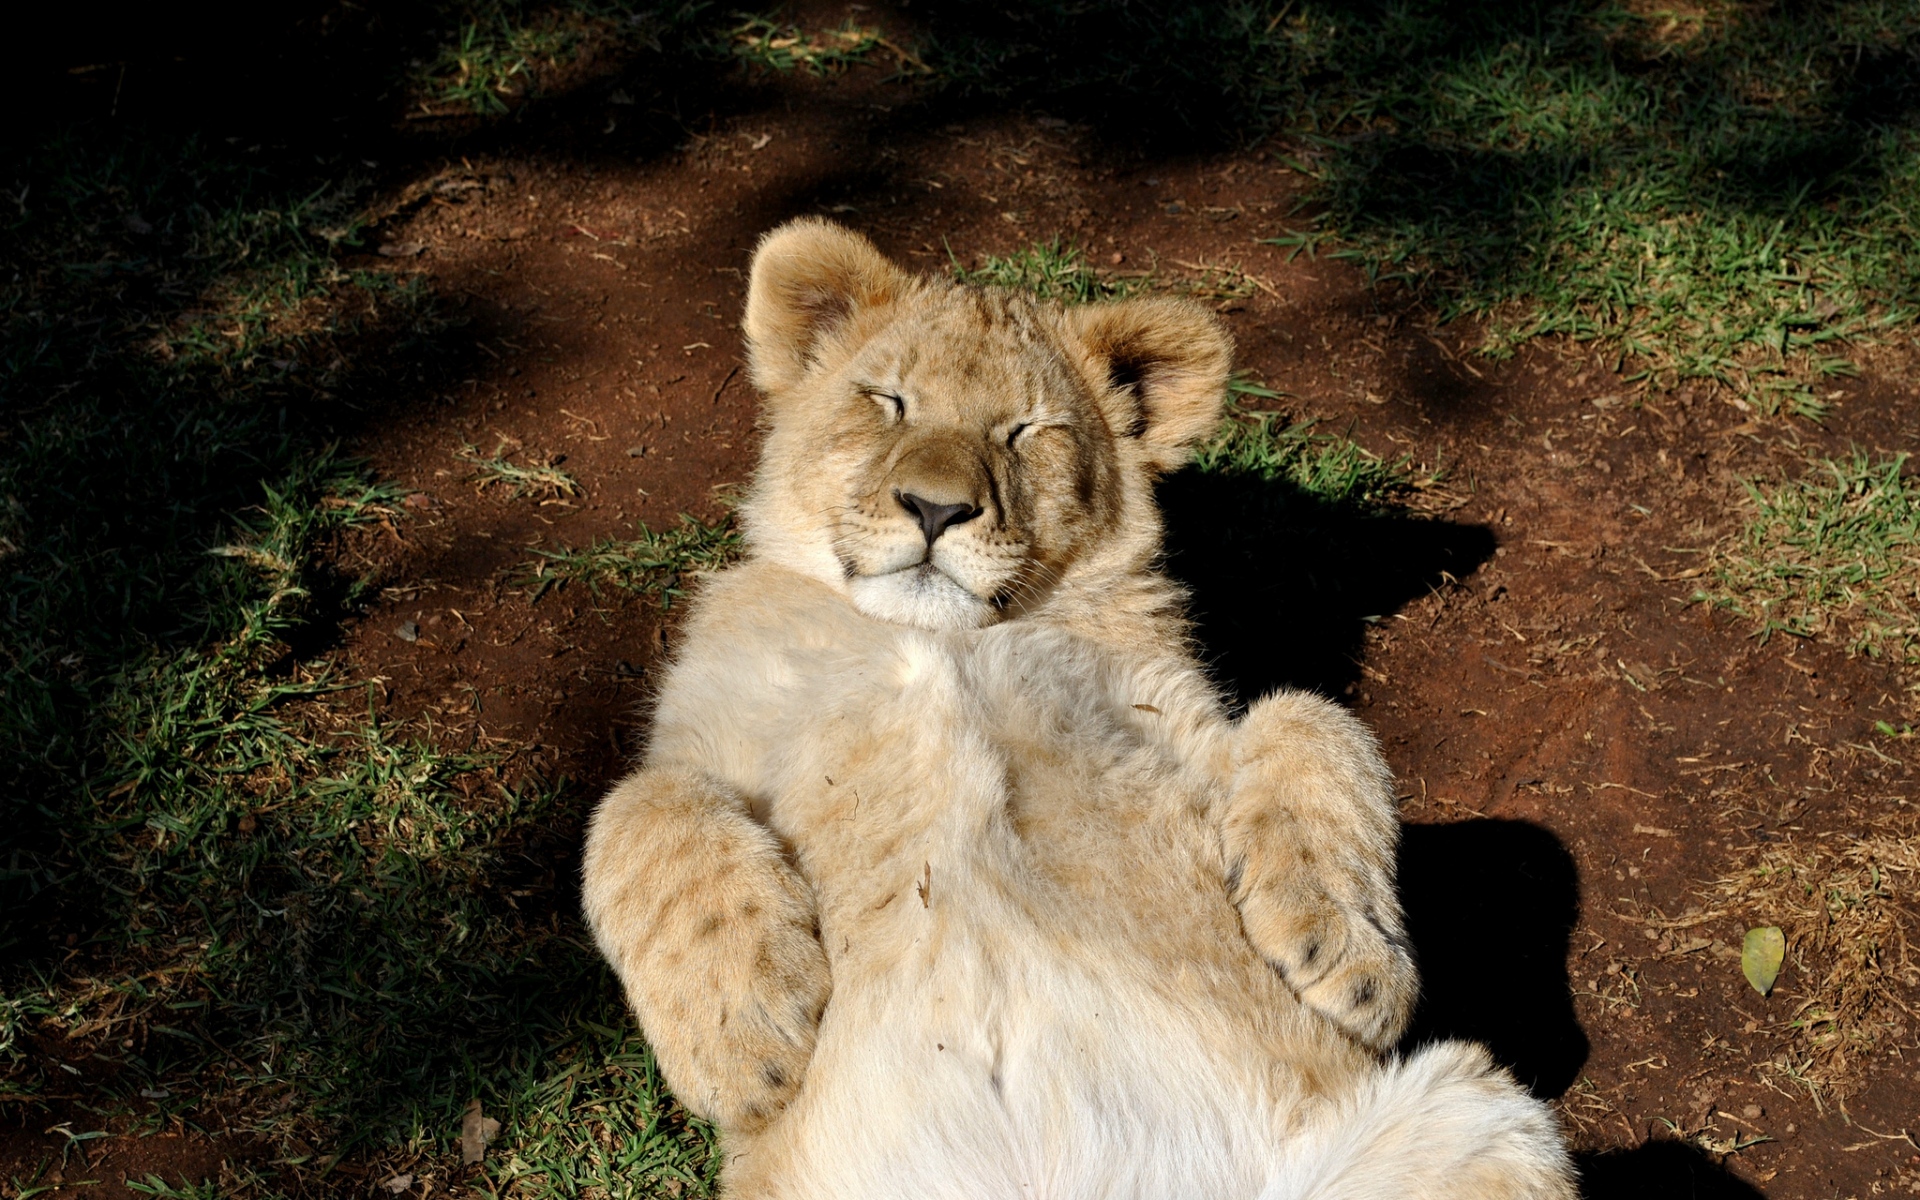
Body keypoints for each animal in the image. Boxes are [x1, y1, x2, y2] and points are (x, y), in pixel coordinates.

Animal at [581, 218, 1575, 1200]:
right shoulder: (715, 730)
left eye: (1027, 430)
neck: (947, 640)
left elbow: (1316, 720)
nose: (935, 509)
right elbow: (635, 807)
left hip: (1484, 1117)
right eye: (888, 401)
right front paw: (741, 1037)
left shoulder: (1179, 725)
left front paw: (1351, 959)